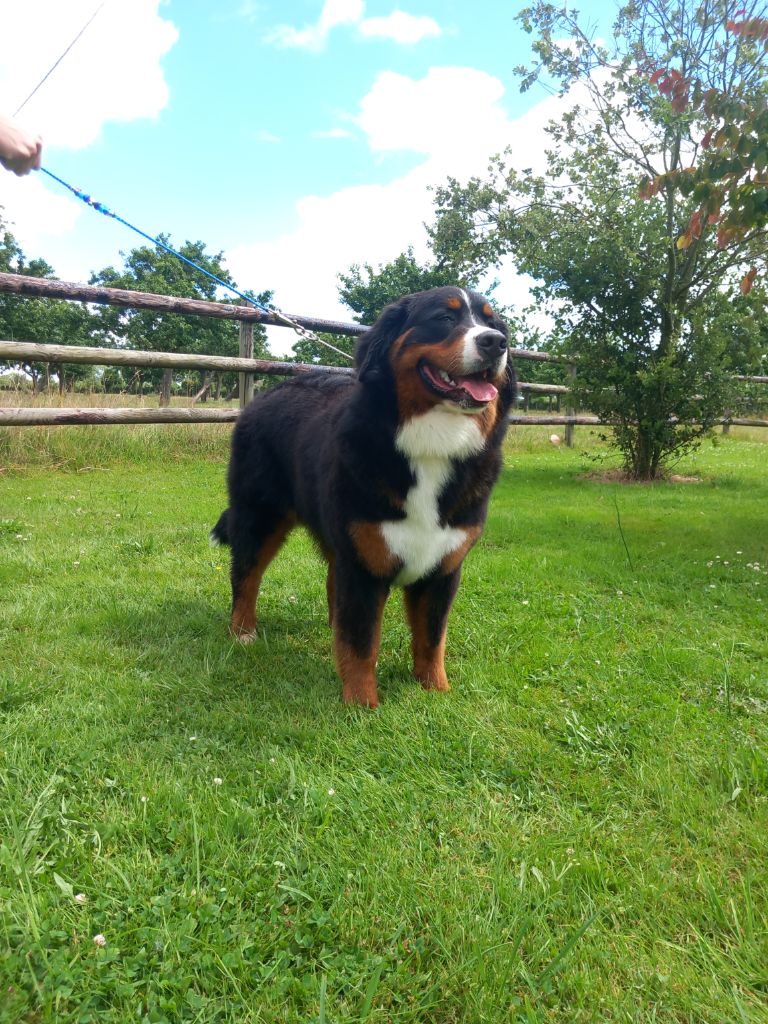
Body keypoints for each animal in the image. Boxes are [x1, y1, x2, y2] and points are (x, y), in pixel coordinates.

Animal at [211, 284, 518, 708]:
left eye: (494, 324)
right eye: (444, 317)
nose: (495, 343)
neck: (431, 447)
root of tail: (265, 395)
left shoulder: (443, 567)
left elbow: (431, 637)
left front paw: (436, 691)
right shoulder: (364, 563)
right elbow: (361, 641)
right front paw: (361, 703)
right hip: (260, 516)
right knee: (245, 576)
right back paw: (242, 631)